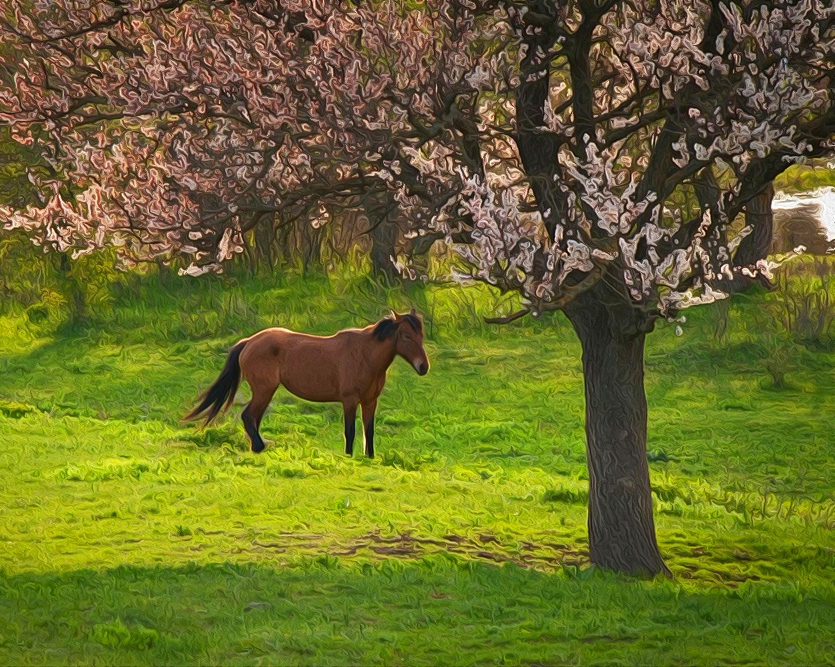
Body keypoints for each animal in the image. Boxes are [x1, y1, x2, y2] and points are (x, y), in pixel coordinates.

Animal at [185, 310, 432, 456]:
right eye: (407, 336)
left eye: (421, 335)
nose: (423, 367)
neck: (365, 354)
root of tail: (248, 342)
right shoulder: (350, 401)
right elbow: (350, 431)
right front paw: (349, 456)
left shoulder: (370, 401)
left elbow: (368, 432)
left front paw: (369, 458)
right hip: (264, 390)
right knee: (248, 416)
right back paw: (259, 447)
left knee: (253, 418)